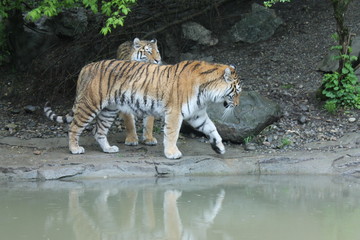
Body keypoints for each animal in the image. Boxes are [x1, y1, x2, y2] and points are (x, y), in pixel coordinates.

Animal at [45, 59, 242, 159]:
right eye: (237, 92)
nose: (238, 105)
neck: (206, 91)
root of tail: (86, 67)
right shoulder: (174, 113)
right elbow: (172, 134)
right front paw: (172, 153)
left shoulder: (197, 114)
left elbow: (212, 129)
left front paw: (219, 147)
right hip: (89, 105)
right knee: (74, 127)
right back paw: (74, 149)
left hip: (109, 110)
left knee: (98, 131)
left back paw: (108, 149)